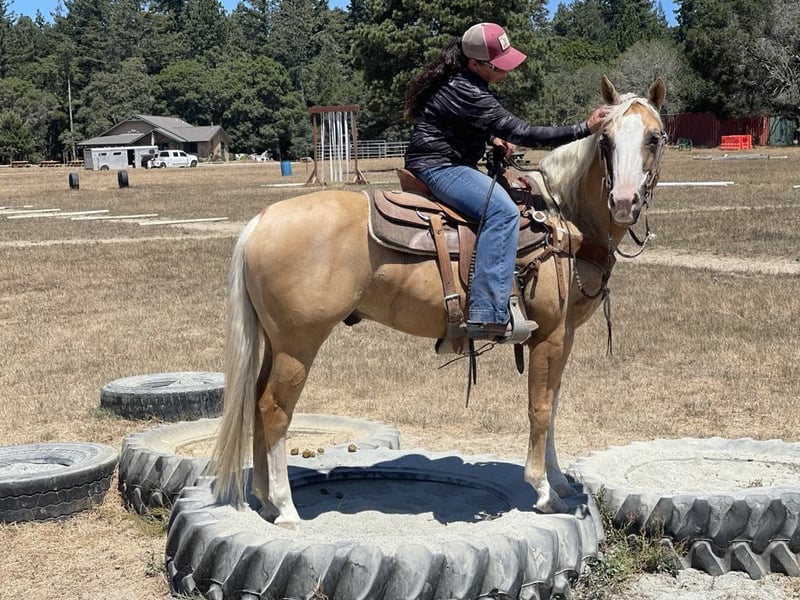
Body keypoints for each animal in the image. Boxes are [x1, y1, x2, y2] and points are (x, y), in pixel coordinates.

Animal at [212, 76, 667, 528]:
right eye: (605, 139)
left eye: (654, 137)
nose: (623, 202)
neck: (562, 220)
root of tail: (262, 221)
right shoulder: (550, 335)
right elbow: (540, 407)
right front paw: (543, 490)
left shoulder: (563, 336)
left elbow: (553, 405)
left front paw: (558, 479)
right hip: (298, 344)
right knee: (274, 408)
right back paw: (285, 506)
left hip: (276, 343)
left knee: (256, 402)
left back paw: (264, 499)